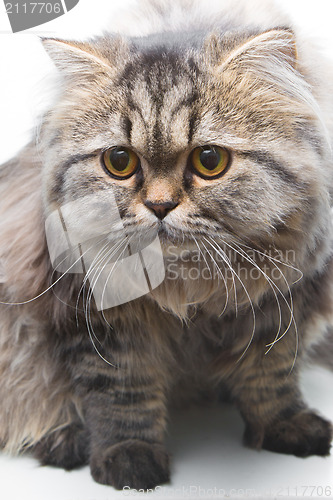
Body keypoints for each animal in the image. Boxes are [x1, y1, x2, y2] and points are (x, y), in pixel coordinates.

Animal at [0, 0, 332, 490]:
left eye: (209, 160)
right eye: (119, 161)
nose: (159, 206)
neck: (187, 286)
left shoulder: (281, 299)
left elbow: (271, 375)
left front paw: (285, 425)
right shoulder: (96, 314)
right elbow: (122, 391)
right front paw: (129, 457)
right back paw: (63, 439)